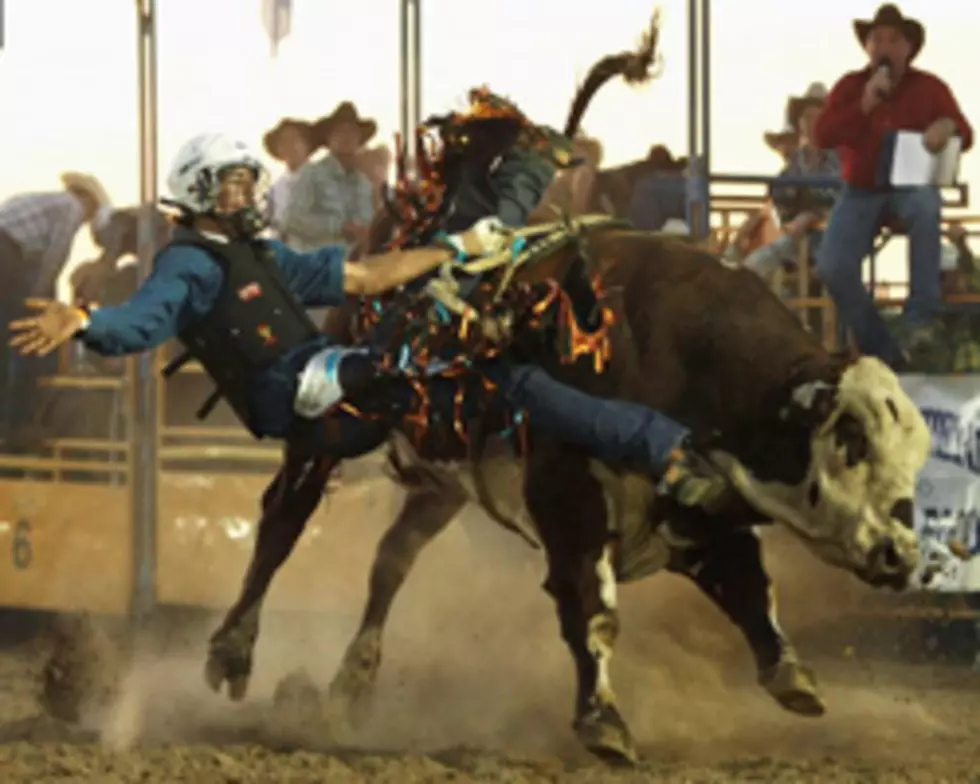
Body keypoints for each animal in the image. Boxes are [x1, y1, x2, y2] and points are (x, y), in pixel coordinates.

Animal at [193, 30, 936, 764]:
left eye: (916, 457)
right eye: (849, 439)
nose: (903, 557)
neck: (678, 350)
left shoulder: (703, 510)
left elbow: (751, 585)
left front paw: (791, 674)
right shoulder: (568, 495)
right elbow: (591, 610)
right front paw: (602, 721)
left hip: (446, 476)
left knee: (391, 560)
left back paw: (351, 685)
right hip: (336, 417)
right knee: (284, 519)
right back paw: (233, 649)